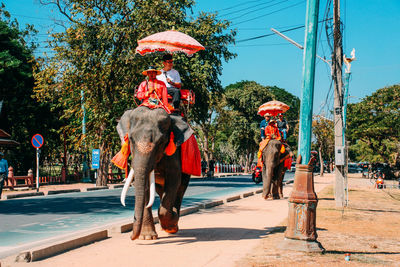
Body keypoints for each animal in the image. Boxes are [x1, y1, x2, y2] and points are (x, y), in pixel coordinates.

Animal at [116, 107, 196, 241]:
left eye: (161, 142)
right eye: (131, 139)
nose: (132, 237)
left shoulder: (174, 155)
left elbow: (174, 180)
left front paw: (170, 225)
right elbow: (144, 187)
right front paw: (147, 237)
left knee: (180, 189)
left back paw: (173, 222)